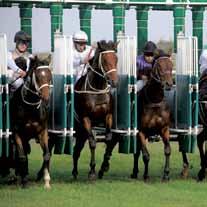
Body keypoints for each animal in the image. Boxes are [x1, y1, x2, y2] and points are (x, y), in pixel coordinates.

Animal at [9, 56, 52, 188]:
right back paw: (15, 176)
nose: (46, 98)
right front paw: (24, 181)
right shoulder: (17, 133)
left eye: (49, 75)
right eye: (37, 76)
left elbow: (46, 154)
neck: (30, 108)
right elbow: (22, 156)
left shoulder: (42, 132)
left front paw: (47, 181)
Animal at [72, 40, 118, 180]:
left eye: (116, 59)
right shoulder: (86, 119)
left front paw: (104, 166)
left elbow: (108, 139)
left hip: (81, 133)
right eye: (105, 60)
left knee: (76, 150)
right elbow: (92, 142)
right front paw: (92, 171)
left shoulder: (108, 116)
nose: (114, 82)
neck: (97, 90)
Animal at [98, 52, 173, 181]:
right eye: (159, 66)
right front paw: (146, 175)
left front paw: (166, 174)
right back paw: (102, 169)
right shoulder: (141, 131)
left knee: (135, 152)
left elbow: (167, 150)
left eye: (171, 65)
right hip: (116, 131)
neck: (154, 101)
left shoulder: (164, 129)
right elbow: (146, 155)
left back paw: (134, 172)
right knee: (110, 148)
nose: (169, 84)